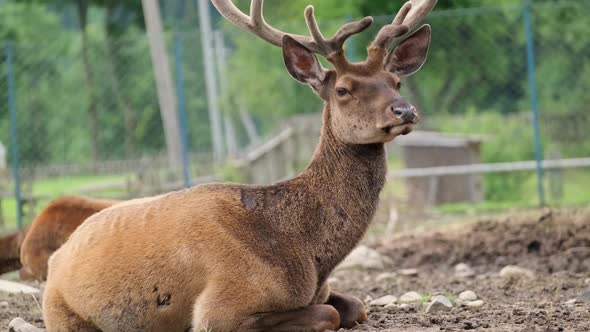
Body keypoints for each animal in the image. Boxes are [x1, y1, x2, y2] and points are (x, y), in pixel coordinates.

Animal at [41, 0, 438, 330]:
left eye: (396, 81)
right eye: (343, 89)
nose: (405, 110)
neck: (310, 255)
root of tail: (55, 261)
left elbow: (356, 305)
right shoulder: (221, 306)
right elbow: (328, 314)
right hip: (62, 313)